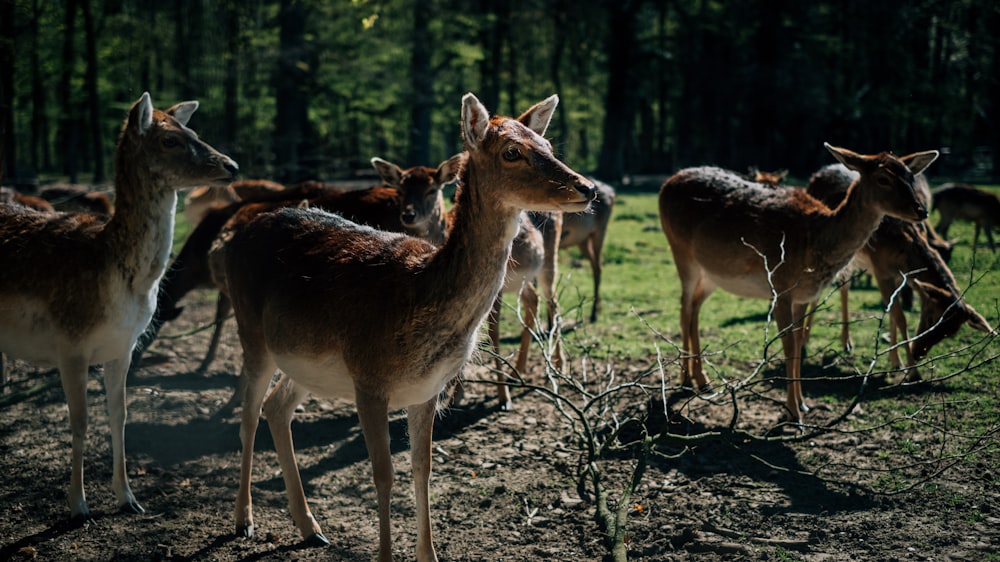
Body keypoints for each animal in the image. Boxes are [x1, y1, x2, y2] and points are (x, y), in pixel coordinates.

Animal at [0, 91, 237, 516]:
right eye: (170, 140)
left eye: (194, 131)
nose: (232, 166)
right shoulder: (70, 344)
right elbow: (79, 422)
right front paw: (78, 505)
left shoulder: (123, 347)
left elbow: (119, 415)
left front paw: (128, 498)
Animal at [221, 94, 592, 556]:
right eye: (512, 151)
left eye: (548, 145)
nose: (587, 188)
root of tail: (236, 236)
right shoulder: (368, 379)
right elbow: (383, 474)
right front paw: (385, 554)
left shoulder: (427, 390)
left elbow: (423, 469)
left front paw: (428, 554)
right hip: (251, 333)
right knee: (249, 415)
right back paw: (244, 520)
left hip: (305, 363)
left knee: (277, 408)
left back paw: (310, 526)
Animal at [560, 177, 612, 322]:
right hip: (582, 239)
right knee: (595, 264)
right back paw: (597, 309)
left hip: (599, 231)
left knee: (598, 266)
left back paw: (594, 313)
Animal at [660, 143, 940, 420]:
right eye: (883, 178)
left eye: (910, 176)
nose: (921, 210)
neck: (812, 239)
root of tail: (667, 183)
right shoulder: (780, 288)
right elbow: (788, 347)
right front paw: (793, 412)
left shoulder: (803, 296)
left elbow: (797, 345)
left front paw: (803, 404)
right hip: (681, 252)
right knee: (683, 308)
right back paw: (685, 378)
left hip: (712, 274)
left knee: (694, 307)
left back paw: (702, 379)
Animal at [804, 164, 992, 378]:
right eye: (930, 317)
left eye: (950, 332)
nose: (918, 353)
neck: (901, 248)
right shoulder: (880, 271)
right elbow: (900, 317)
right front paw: (913, 372)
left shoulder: (896, 276)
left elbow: (892, 313)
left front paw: (896, 362)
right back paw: (805, 341)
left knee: (844, 285)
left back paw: (846, 342)